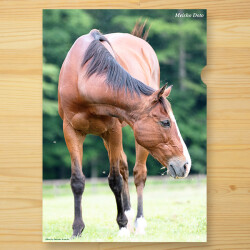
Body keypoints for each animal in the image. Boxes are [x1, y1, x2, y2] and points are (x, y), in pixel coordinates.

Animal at [58, 25, 191, 238]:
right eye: (165, 122)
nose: (186, 165)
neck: (83, 79)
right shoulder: (71, 130)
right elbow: (78, 180)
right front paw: (77, 229)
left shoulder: (113, 131)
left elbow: (115, 180)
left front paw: (121, 225)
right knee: (125, 168)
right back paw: (128, 217)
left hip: (135, 140)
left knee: (138, 174)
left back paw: (137, 222)